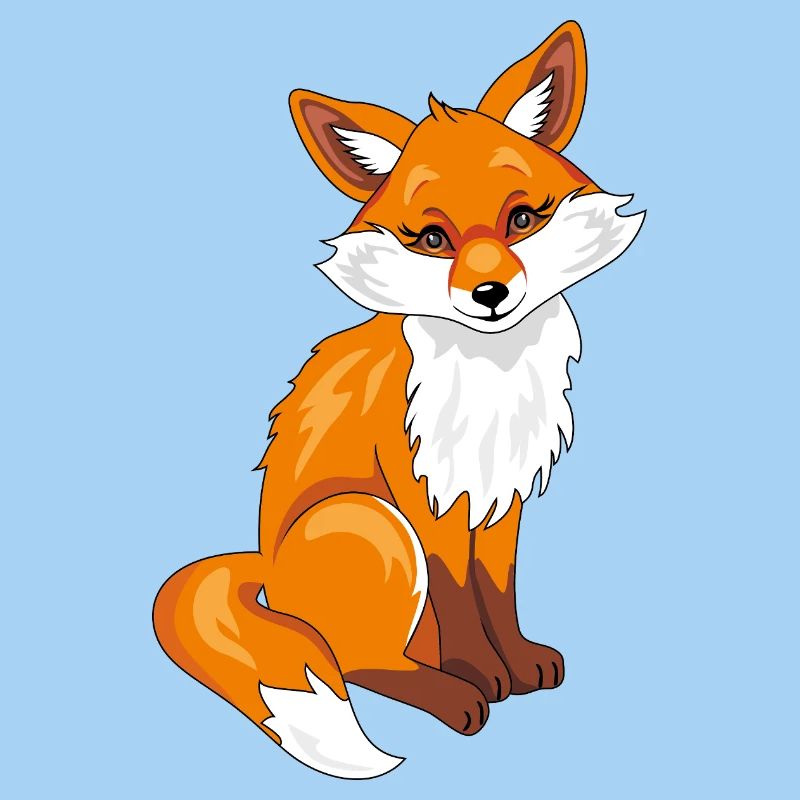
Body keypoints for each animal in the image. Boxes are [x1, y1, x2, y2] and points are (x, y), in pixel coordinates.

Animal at [153, 20, 644, 779]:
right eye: (433, 238)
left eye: (521, 219)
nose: (491, 293)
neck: (491, 375)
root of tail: (266, 570)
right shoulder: (425, 497)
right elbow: (458, 597)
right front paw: (483, 673)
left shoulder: (497, 496)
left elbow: (498, 590)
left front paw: (519, 663)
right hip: (373, 522)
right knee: (354, 663)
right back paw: (448, 693)